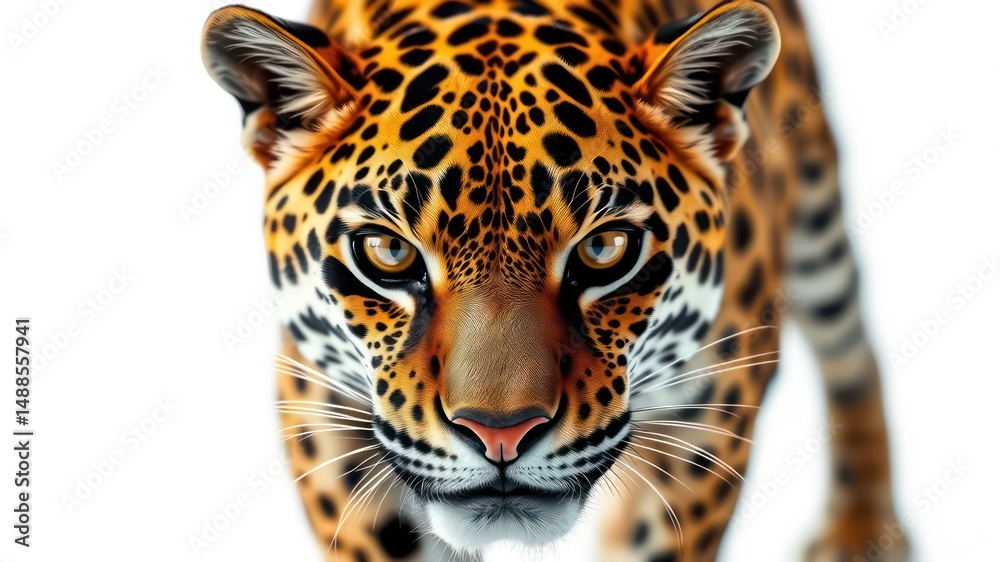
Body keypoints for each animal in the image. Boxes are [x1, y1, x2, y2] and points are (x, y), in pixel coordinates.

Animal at [201, 0, 908, 560]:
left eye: (604, 248)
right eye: (388, 252)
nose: (501, 434)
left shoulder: (715, 402)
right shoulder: (319, 401)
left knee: (852, 349)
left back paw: (860, 529)